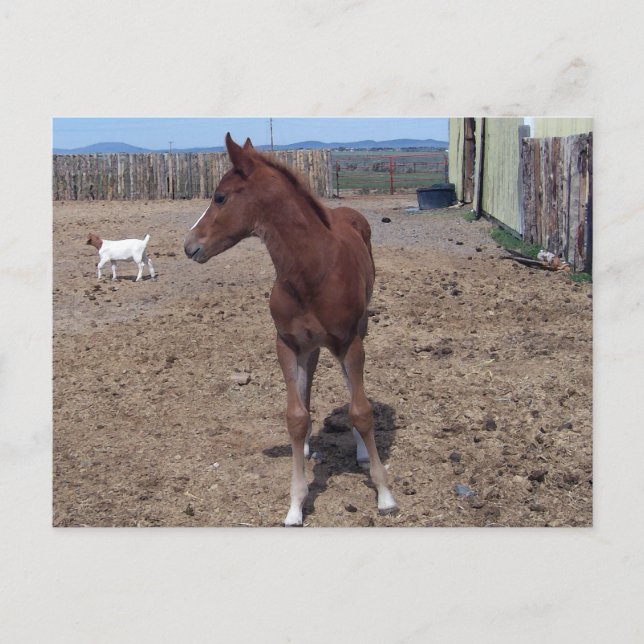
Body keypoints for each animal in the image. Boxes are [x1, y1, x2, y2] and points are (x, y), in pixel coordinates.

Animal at [184, 133, 397, 526]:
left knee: (354, 391)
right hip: (309, 346)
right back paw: (311, 443)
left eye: (220, 197)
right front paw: (296, 505)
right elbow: (295, 415)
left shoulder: (349, 342)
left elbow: (361, 410)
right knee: (307, 385)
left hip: (359, 332)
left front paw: (385, 494)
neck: (313, 270)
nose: (189, 245)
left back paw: (362, 450)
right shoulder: (287, 343)